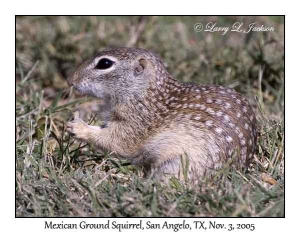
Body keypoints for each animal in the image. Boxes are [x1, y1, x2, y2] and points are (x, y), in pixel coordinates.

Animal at [67, 47, 256, 182]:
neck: (143, 93)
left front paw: (78, 127)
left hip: (176, 165)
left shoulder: (137, 121)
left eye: (104, 63)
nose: (70, 80)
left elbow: (118, 142)